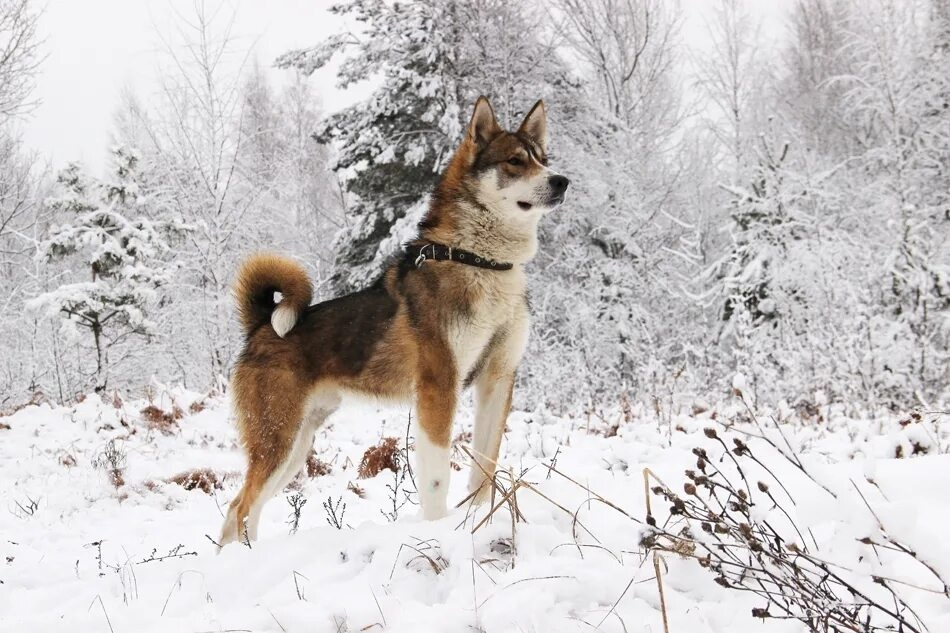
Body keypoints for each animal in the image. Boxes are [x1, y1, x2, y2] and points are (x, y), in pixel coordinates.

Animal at [219, 95, 568, 544]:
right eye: (514, 161)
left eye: (543, 159)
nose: (561, 181)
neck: (480, 262)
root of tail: (261, 325)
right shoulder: (439, 386)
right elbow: (437, 479)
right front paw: (438, 533)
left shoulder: (498, 379)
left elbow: (484, 471)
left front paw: (480, 521)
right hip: (277, 438)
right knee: (242, 508)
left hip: (296, 446)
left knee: (240, 509)